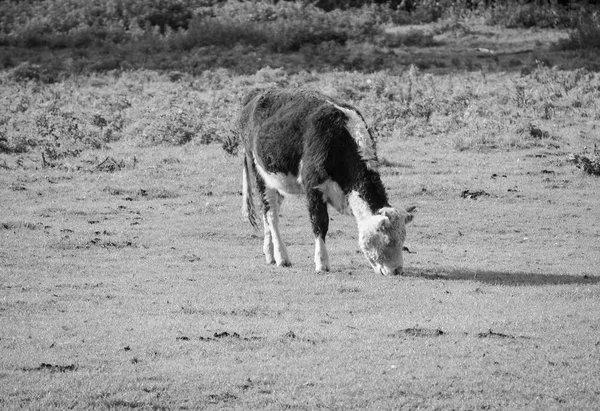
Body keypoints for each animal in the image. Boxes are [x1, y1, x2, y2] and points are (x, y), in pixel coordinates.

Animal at [237, 88, 414, 276]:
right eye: (387, 240)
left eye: (403, 240)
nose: (397, 270)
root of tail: (256, 94)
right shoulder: (313, 186)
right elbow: (320, 223)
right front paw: (322, 263)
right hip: (260, 173)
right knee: (271, 214)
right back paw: (282, 257)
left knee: (266, 212)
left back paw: (269, 254)